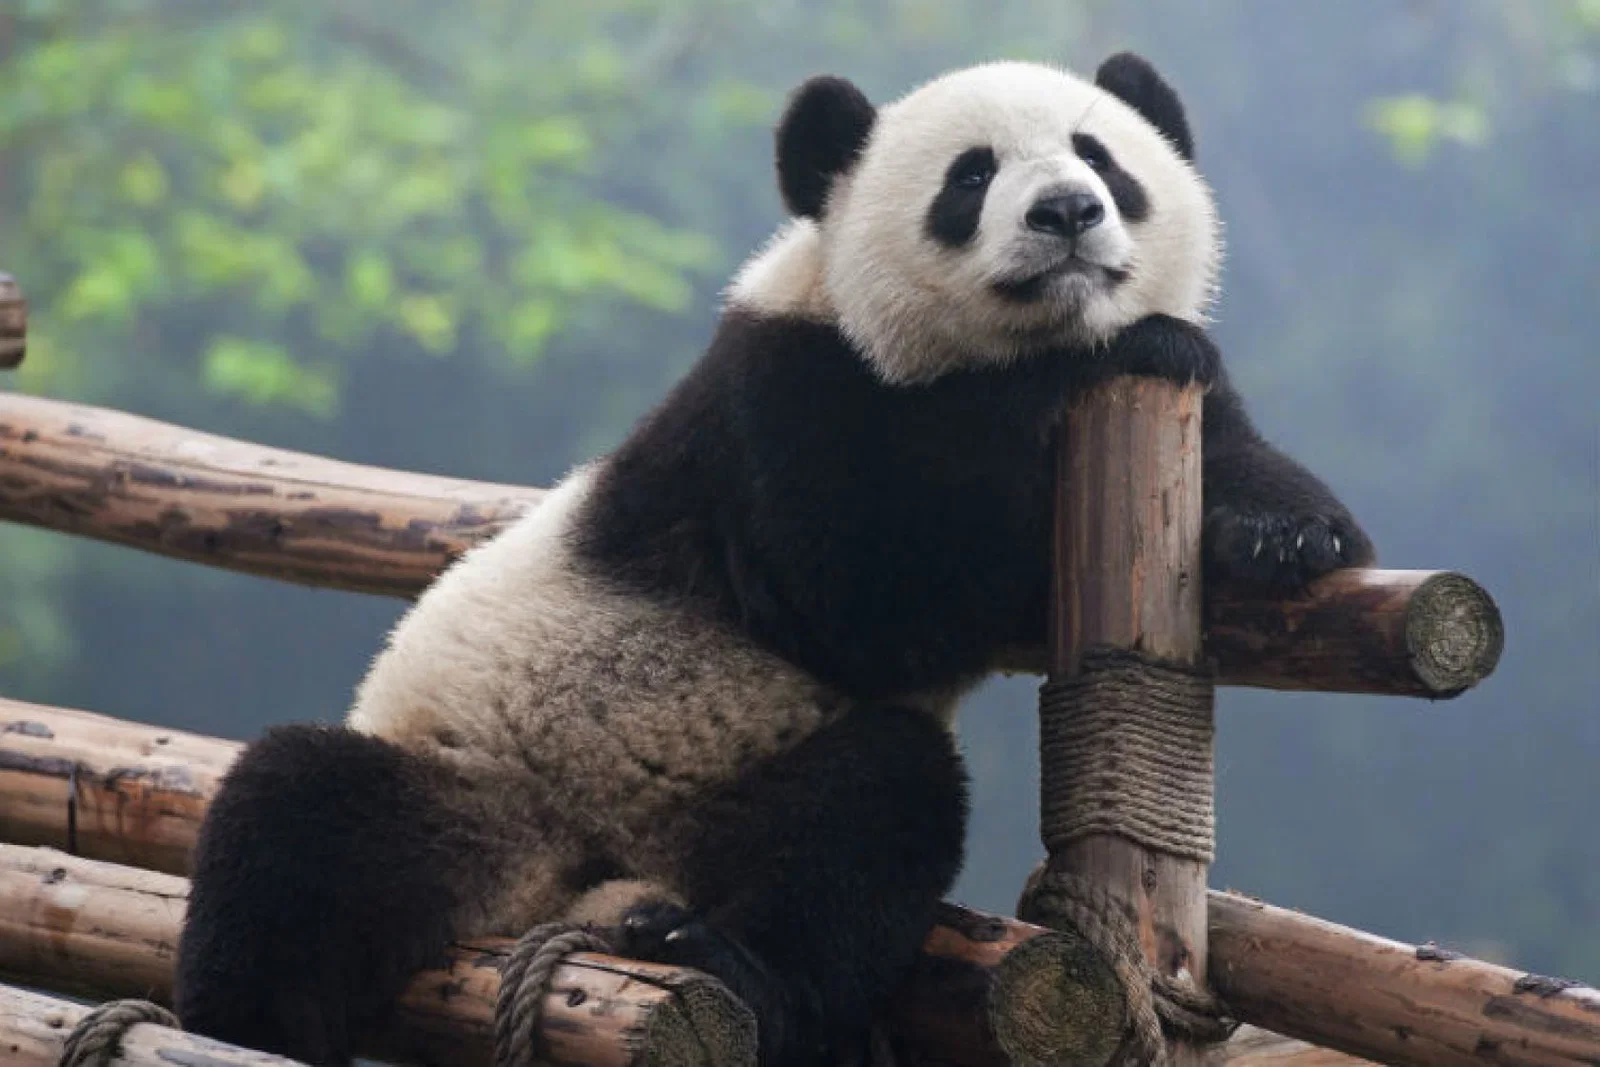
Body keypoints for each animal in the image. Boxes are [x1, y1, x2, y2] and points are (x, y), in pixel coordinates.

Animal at [175, 52, 1372, 1067]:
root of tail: (571, 886)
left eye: (1101, 156)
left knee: (860, 819)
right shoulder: (785, 394)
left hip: (729, 796)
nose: (1068, 212)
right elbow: (868, 591)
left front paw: (1285, 533)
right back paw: (249, 1019)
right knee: (292, 825)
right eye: (971, 176)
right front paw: (1100, 364)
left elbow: (1232, 454)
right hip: (474, 779)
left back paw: (717, 953)